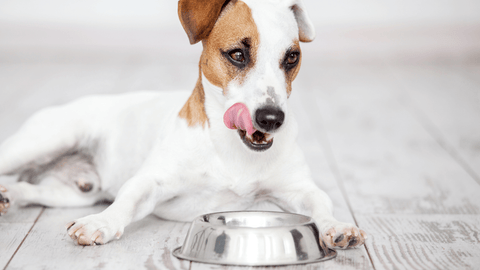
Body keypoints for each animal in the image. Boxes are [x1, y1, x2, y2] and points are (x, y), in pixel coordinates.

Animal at [0, 0, 366, 249]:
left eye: (291, 58)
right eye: (236, 54)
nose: (272, 118)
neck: (231, 148)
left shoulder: (298, 189)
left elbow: (320, 203)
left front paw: (337, 226)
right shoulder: (153, 181)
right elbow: (129, 199)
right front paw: (100, 223)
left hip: (73, 193)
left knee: (32, 190)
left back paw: (8, 196)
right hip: (43, 141)